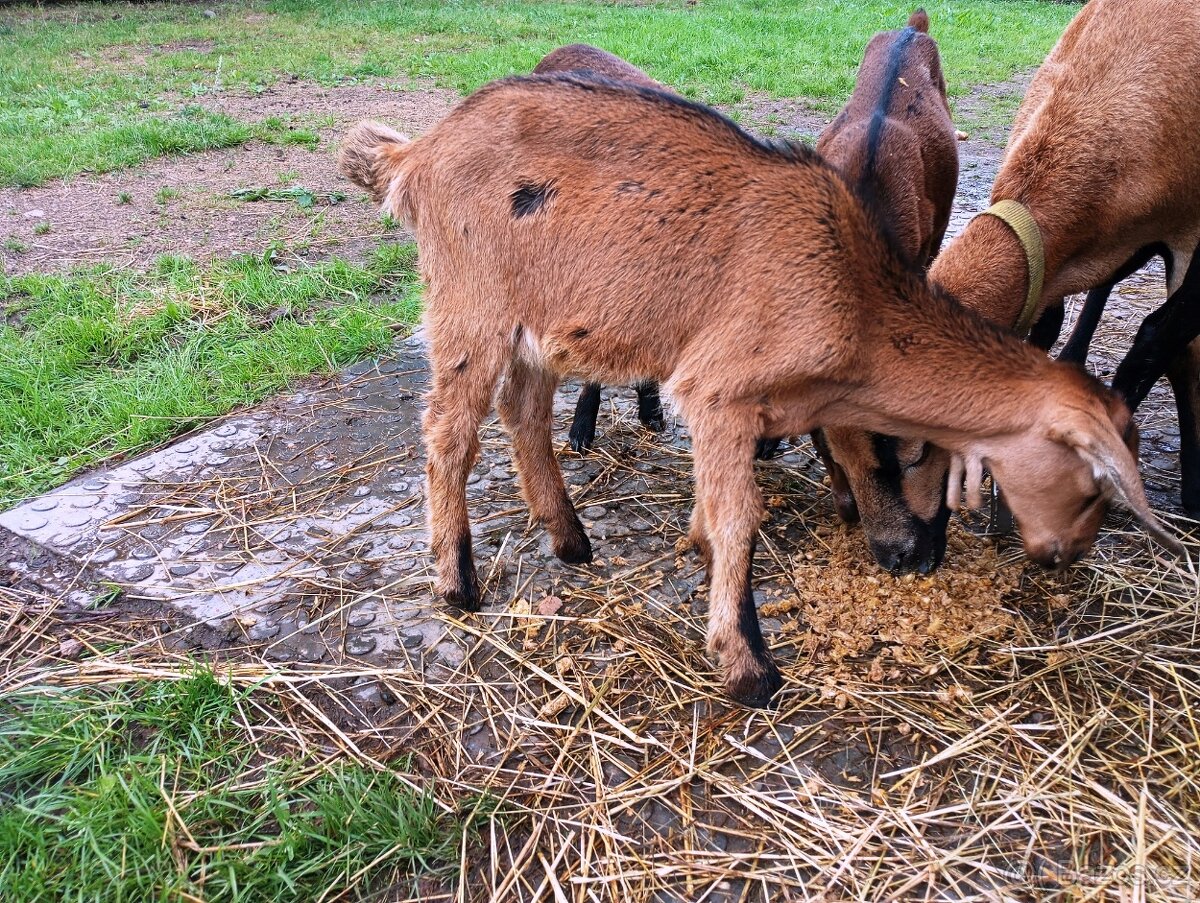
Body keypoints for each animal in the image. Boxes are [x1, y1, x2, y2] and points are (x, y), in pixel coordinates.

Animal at [340, 75, 1180, 706]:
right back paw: (458, 582)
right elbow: (742, 514)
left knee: (523, 412)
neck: (850, 290)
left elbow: (721, 508)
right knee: (450, 431)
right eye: (1092, 485)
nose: (913, 560)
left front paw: (698, 547)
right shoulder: (717, 389)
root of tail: (417, 153)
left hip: (542, 320)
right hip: (469, 301)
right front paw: (748, 665)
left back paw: (570, 539)